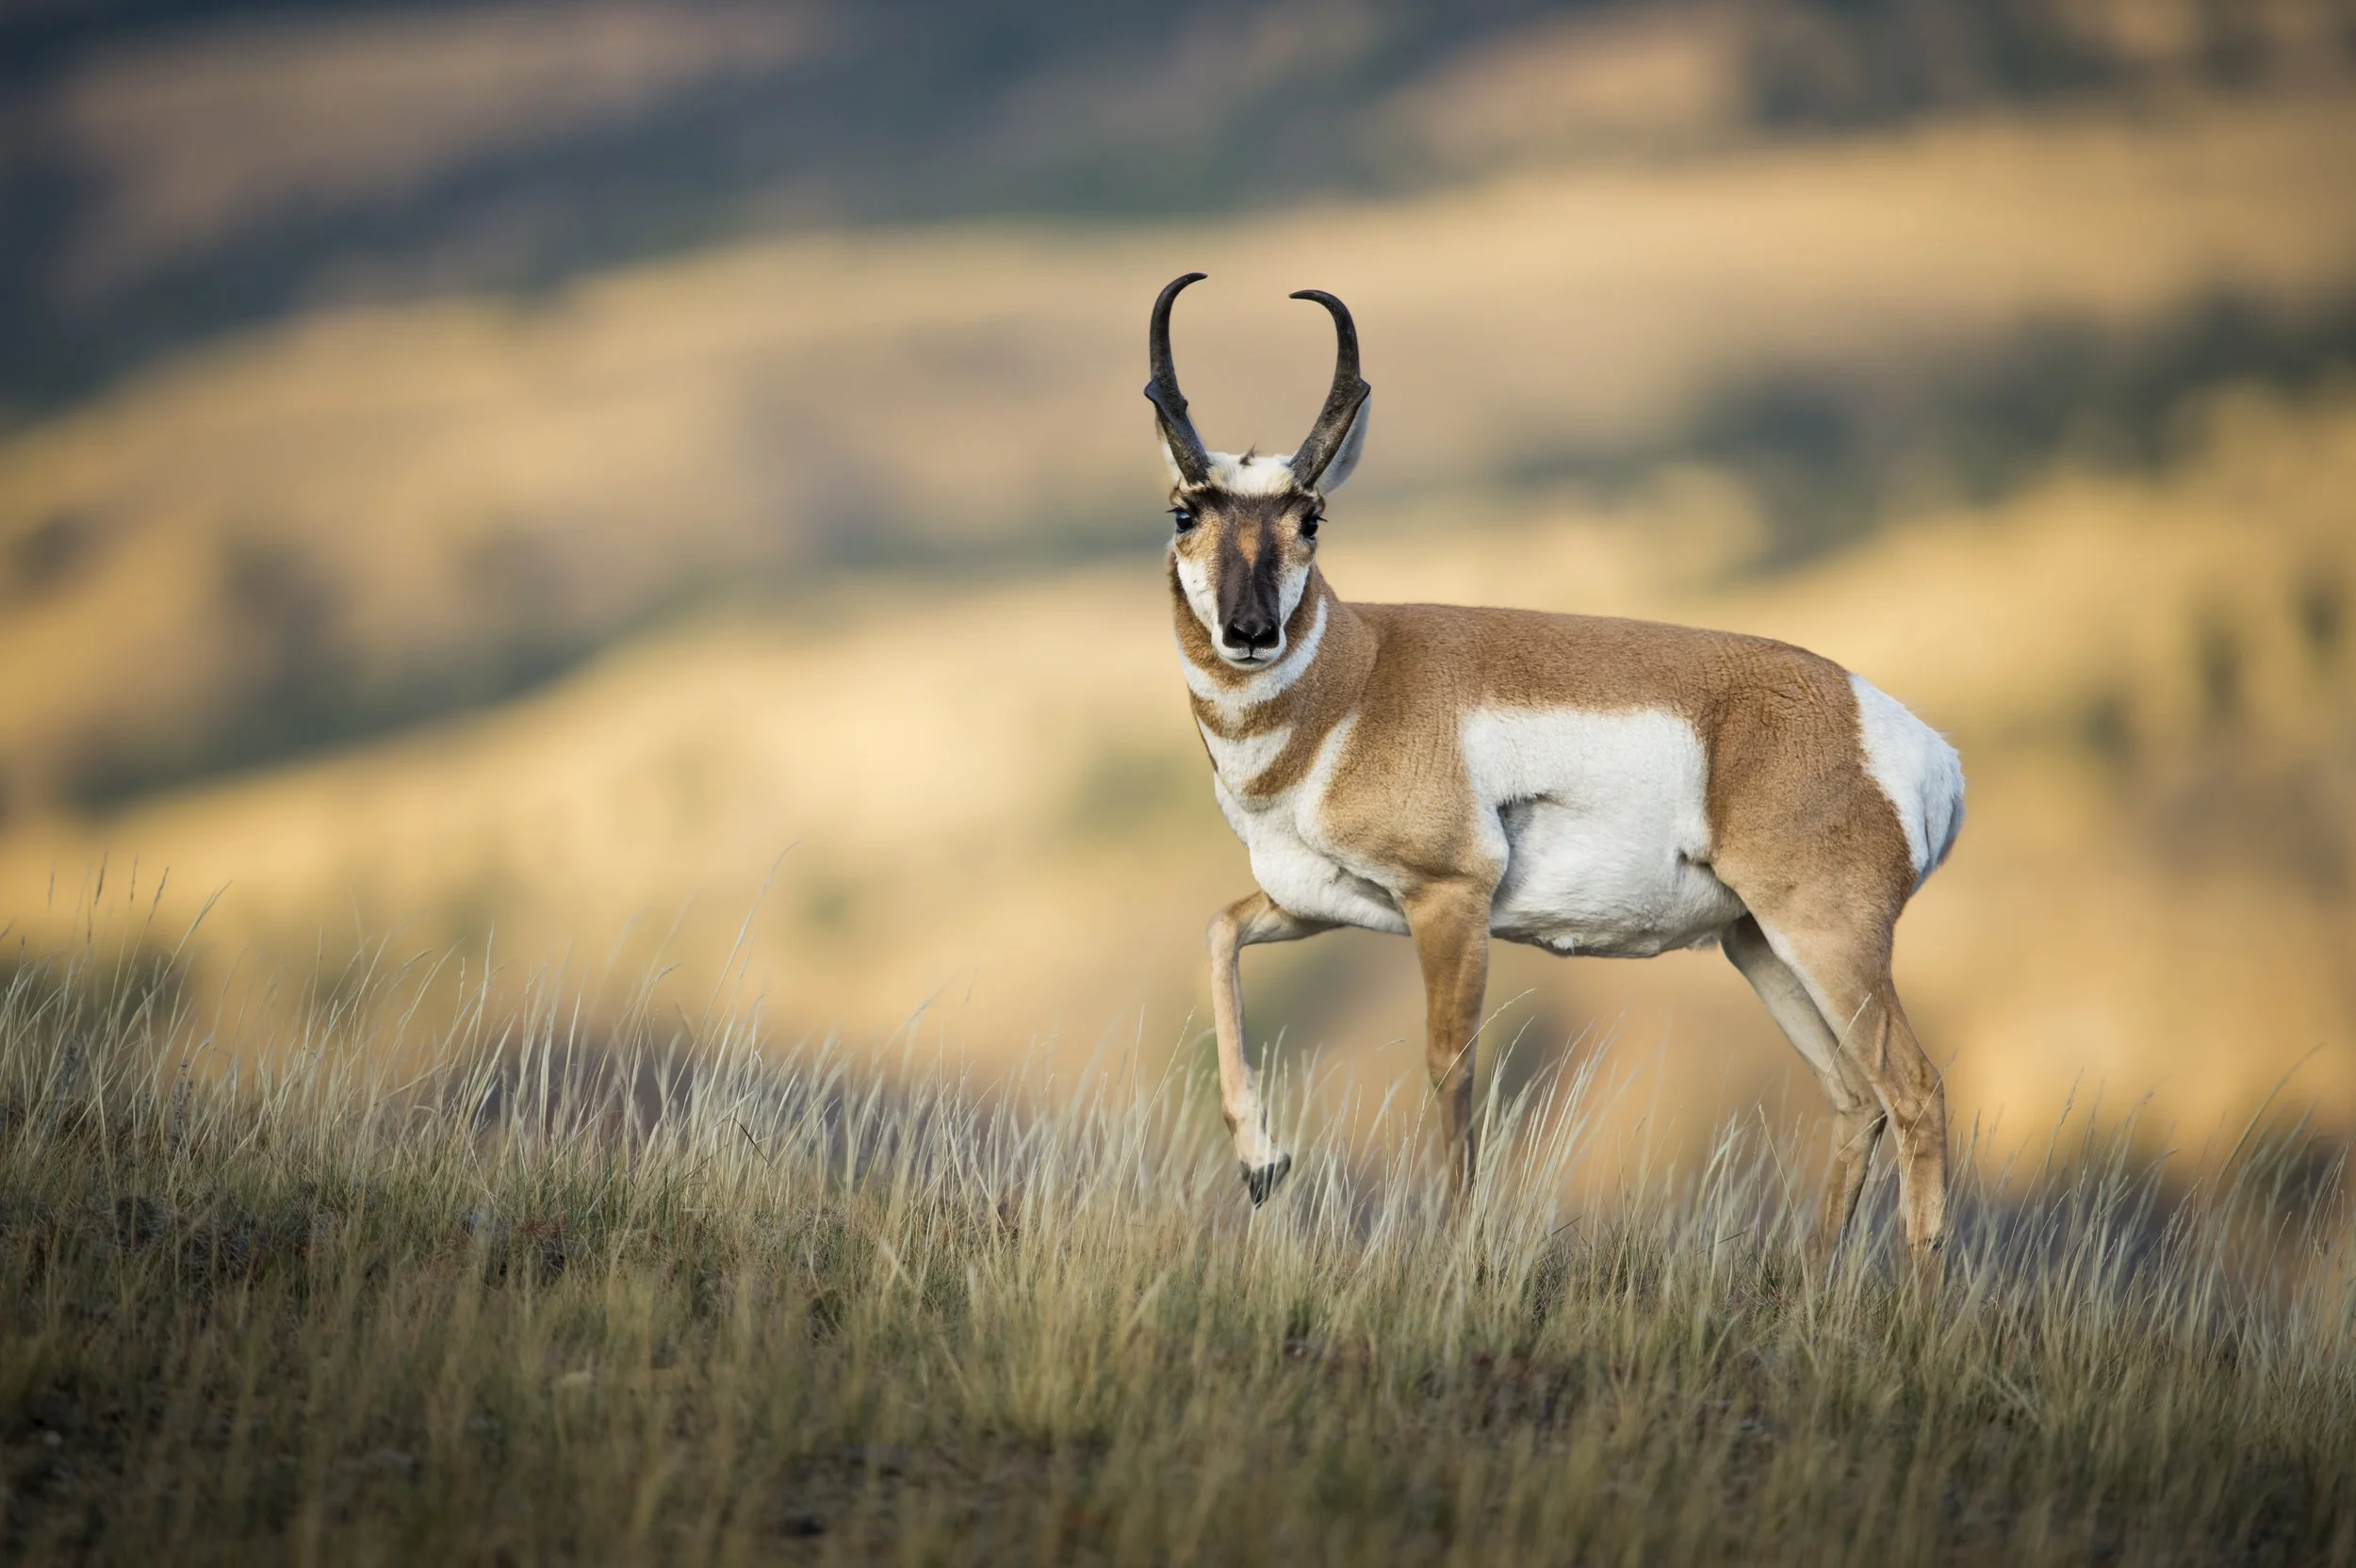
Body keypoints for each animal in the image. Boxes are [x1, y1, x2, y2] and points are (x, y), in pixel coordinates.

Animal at [1147, 274, 1964, 1267]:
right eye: (1185, 511)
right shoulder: (1321, 899)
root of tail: (1910, 740)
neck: (1360, 676)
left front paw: (1457, 1247)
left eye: (1311, 517)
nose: (1252, 632)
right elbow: (1220, 931)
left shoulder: (1449, 900)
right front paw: (1263, 1164)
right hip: (1762, 945)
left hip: (1829, 939)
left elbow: (1451, 1066)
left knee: (1915, 1092)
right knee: (1855, 1100)